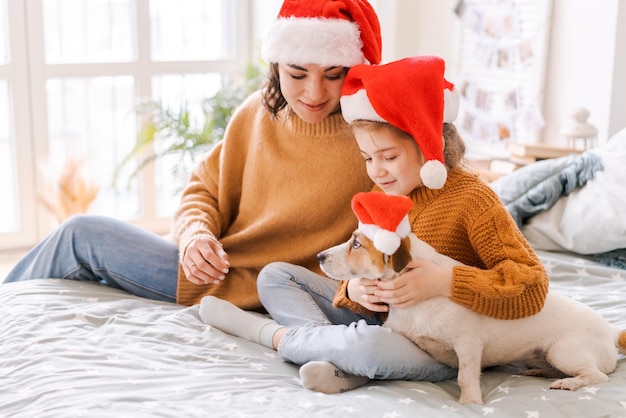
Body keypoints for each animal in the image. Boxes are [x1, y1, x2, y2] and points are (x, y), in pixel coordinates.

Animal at [316, 230, 624, 404]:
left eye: (356, 244)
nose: (319, 256)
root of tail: (611, 330)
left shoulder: (468, 345)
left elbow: (465, 377)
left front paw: (469, 403)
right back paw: (541, 371)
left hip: (563, 352)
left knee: (596, 376)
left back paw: (569, 382)